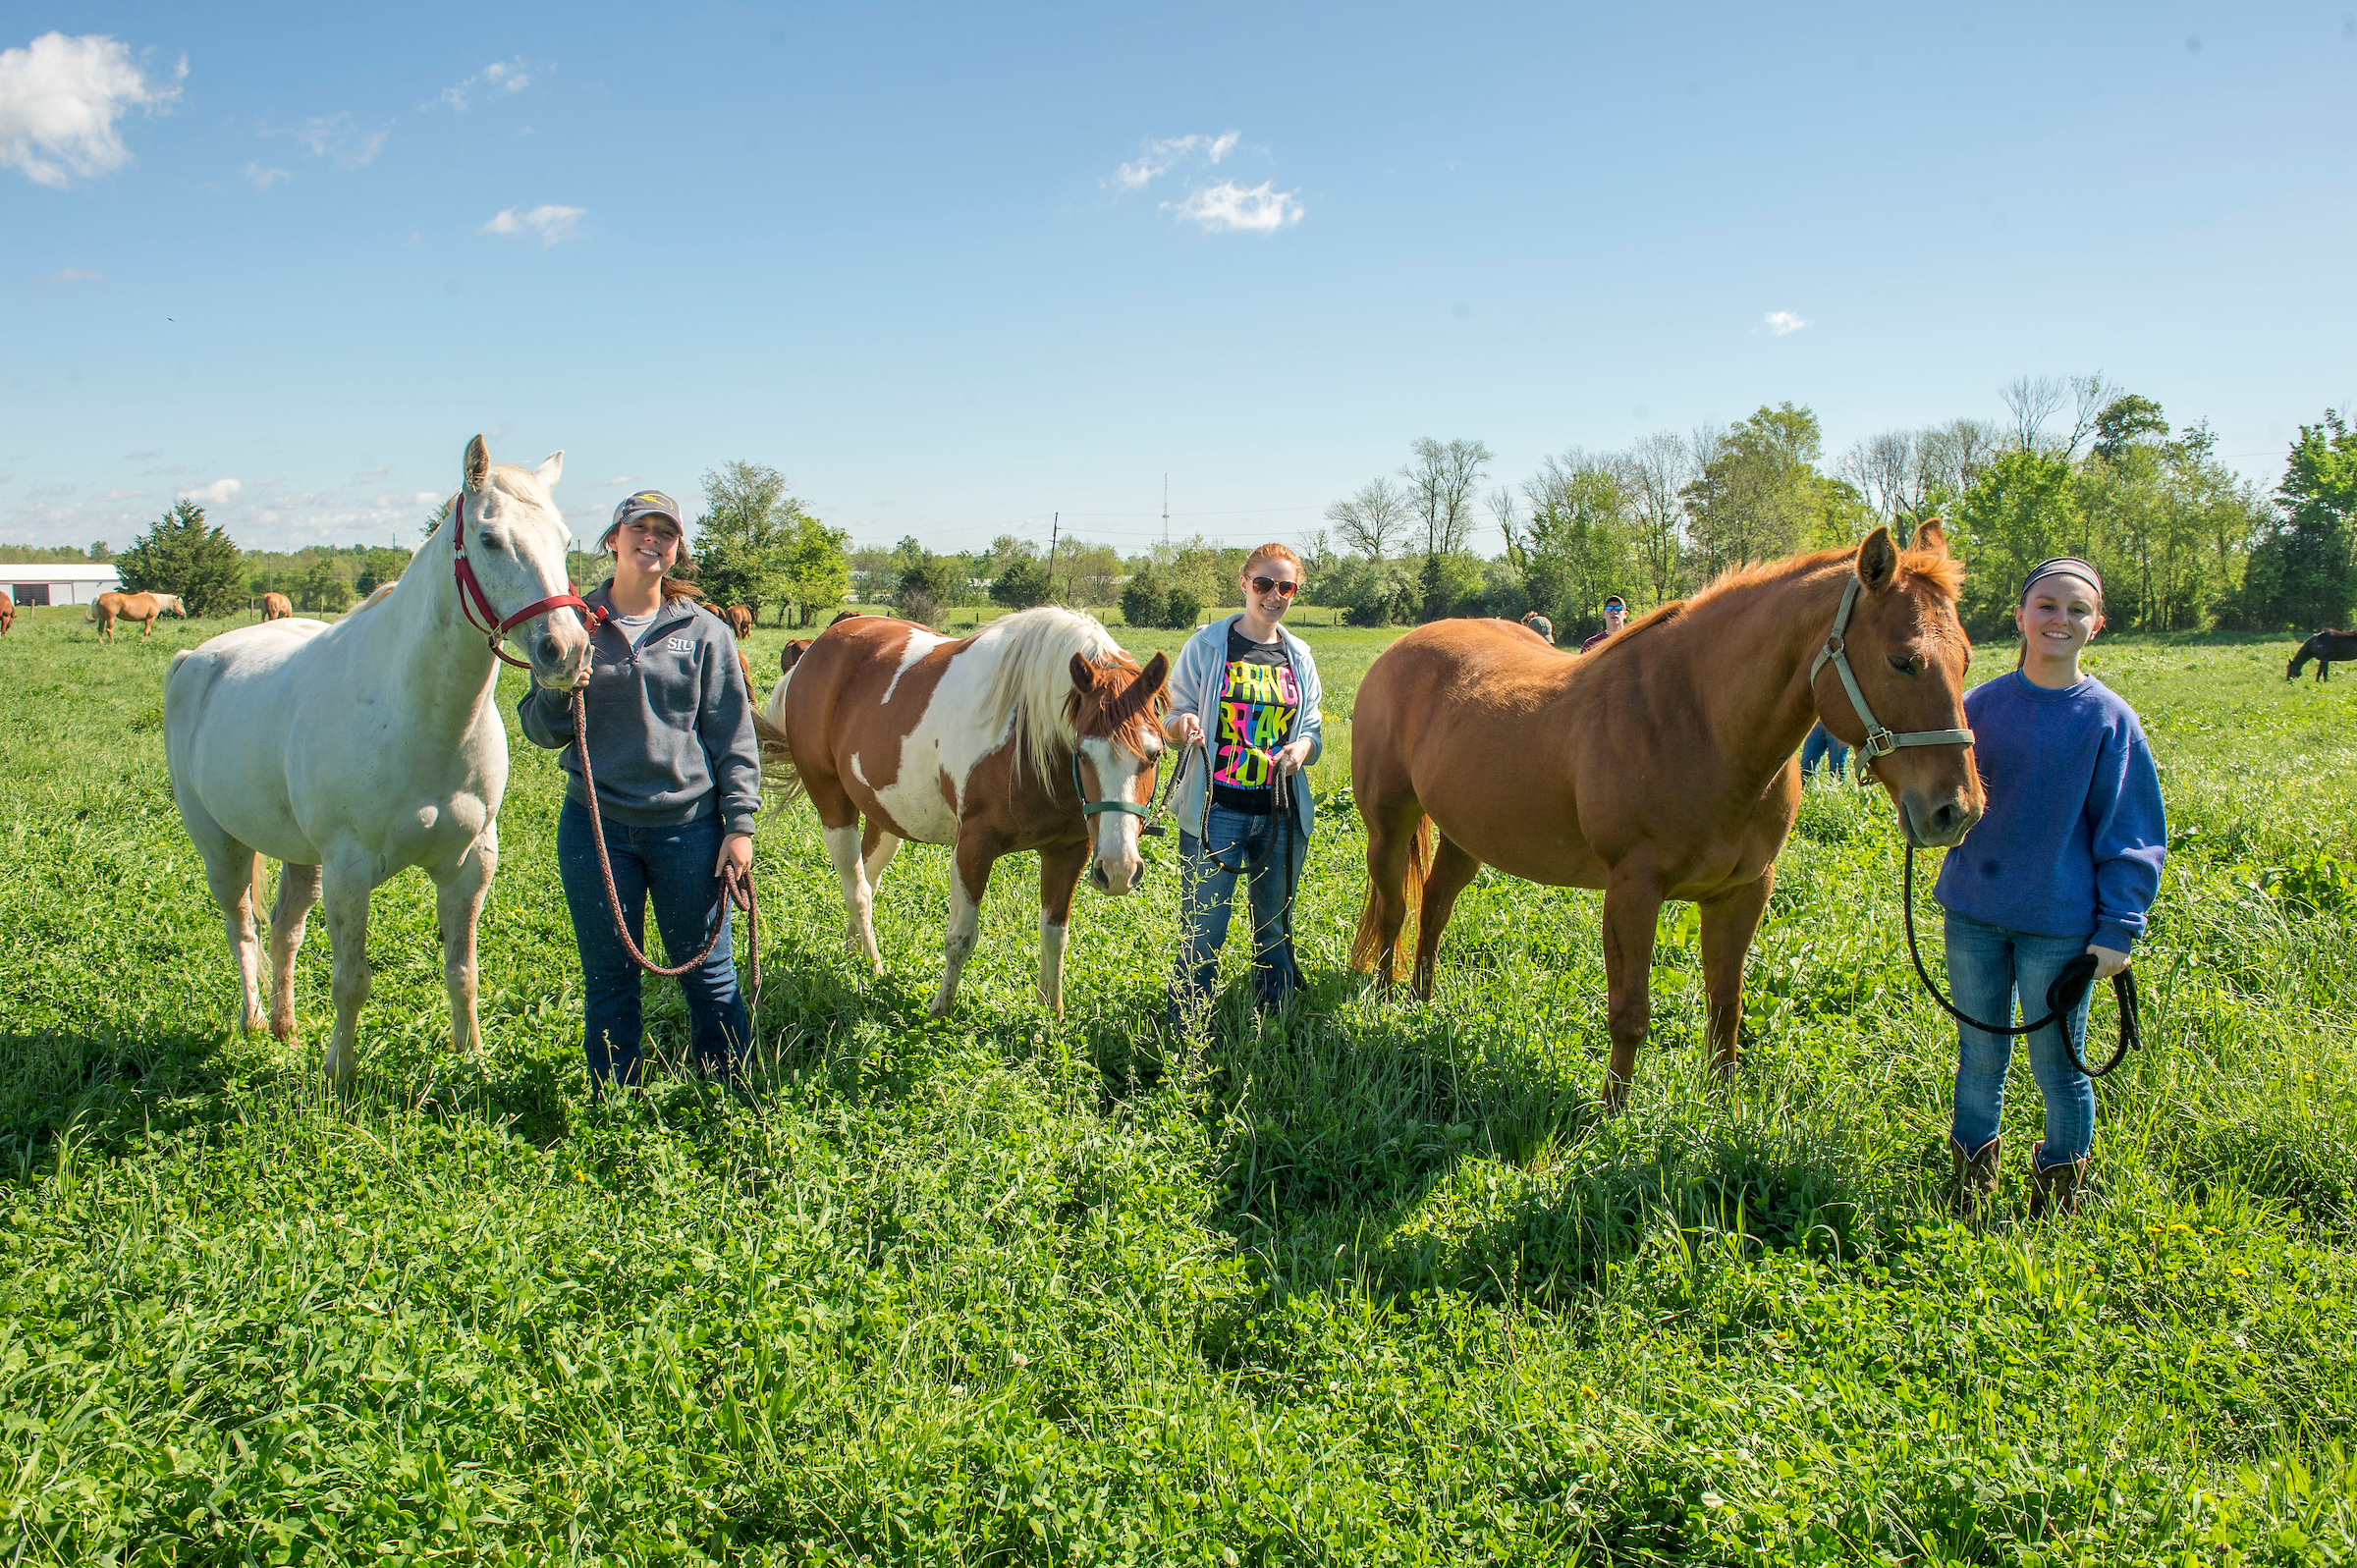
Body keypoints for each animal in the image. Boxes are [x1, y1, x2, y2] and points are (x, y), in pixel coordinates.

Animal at [162, 433, 593, 1084]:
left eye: (566, 541)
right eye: (489, 539)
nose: (565, 650)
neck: (419, 719)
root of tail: (194, 658)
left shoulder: (471, 864)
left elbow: (462, 971)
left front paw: (472, 1063)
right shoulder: (350, 868)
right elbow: (351, 980)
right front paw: (339, 1073)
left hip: (300, 858)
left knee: (285, 930)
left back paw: (286, 1028)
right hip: (222, 846)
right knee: (243, 930)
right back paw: (255, 1021)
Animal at [768, 598, 1174, 1013]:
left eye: (1155, 753)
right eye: (1082, 753)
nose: (1119, 870)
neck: (1026, 735)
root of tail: (816, 650)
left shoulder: (1070, 851)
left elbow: (1054, 936)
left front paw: (1051, 1014)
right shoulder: (973, 848)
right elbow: (961, 937)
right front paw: (940, 1010)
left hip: (886, 815)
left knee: (867, 875)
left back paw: (856, 953)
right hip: (833, 804)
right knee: (857, 888)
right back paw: (873, 965)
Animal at [1347, 523, 1989, 1099]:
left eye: (1965, 658)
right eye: (1902, 661)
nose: (1956, 811)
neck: (1698, 723)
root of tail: (1398, 651)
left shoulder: (1744, 892)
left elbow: (1726, 1005)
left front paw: (1721, 1106)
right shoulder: (1633, 890)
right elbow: (1629, 1012)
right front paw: (1613, 1116)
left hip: (1467, 834)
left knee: (1434, 906)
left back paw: (1422, 1002)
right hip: (1388, 826)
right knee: (1395, 911)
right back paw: (1386, 1003)